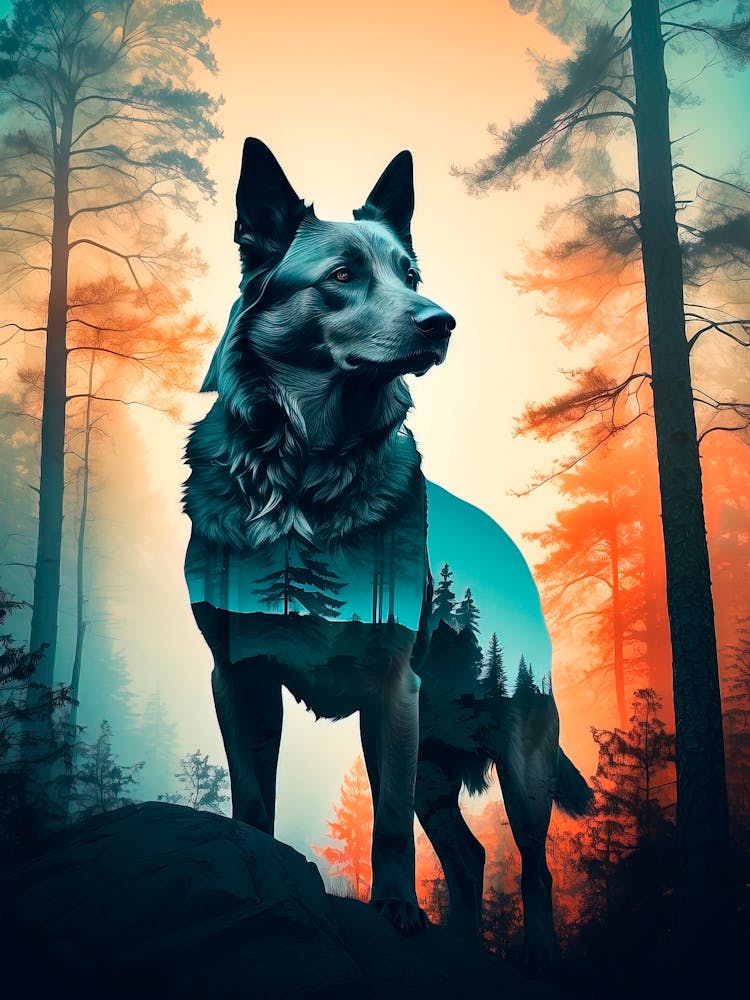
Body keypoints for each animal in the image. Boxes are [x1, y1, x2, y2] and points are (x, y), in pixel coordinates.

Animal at [182, 138, 592, 953]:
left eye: (411, 276)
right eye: (342, 276)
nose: (443, 322)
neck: (304, 484)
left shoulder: (393, 691)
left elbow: (389, 823)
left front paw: (398, 909)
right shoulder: (240, 679)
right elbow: (254, 799)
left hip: (521, 757)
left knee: (533, 865)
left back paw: (536, 954)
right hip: (439, 758)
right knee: (470, 856)